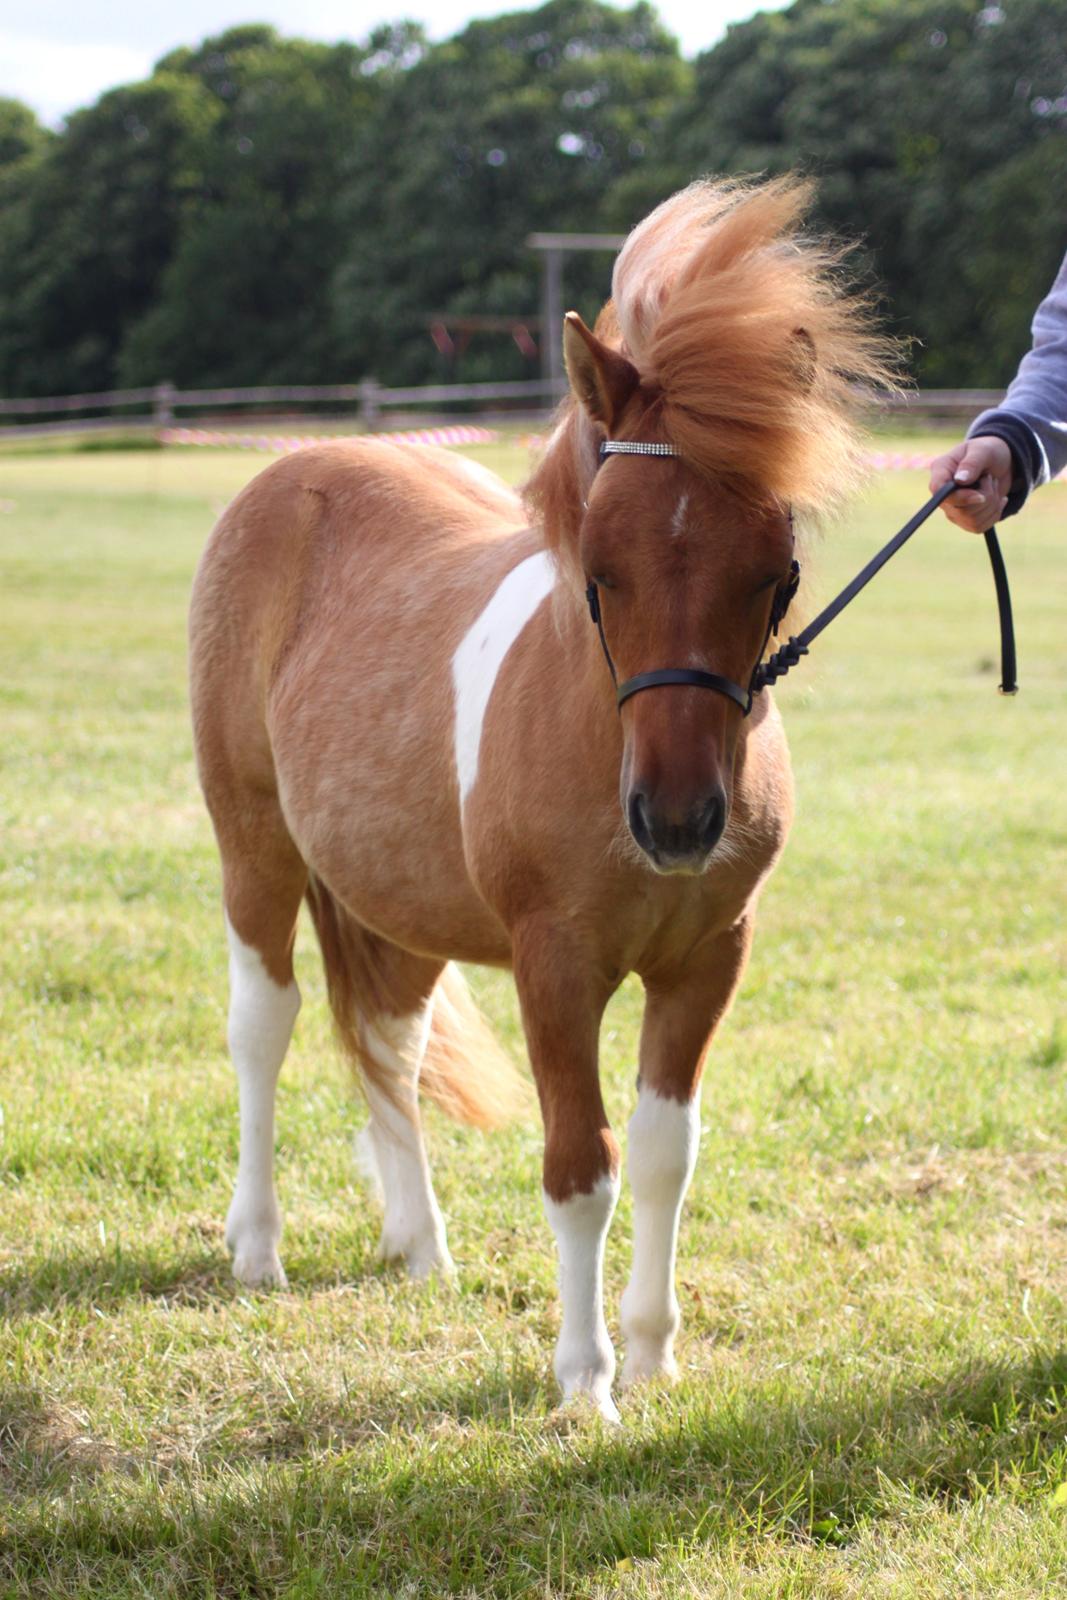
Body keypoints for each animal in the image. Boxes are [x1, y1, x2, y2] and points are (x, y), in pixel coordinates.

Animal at [189, 178, 895, 1427]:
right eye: (599, 571)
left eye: (778, 575)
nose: (676, 821)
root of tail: (293, 471)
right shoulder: (554, 967)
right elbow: (581, 1166)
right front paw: (583, 1382)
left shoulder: (706, 956)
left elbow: (664, 1153)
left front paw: (653, 1351)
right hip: (255, 852)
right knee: (262, 1029)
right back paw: (257, 1245)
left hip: (397, 896)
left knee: (391, 1038)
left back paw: (419, 1244)